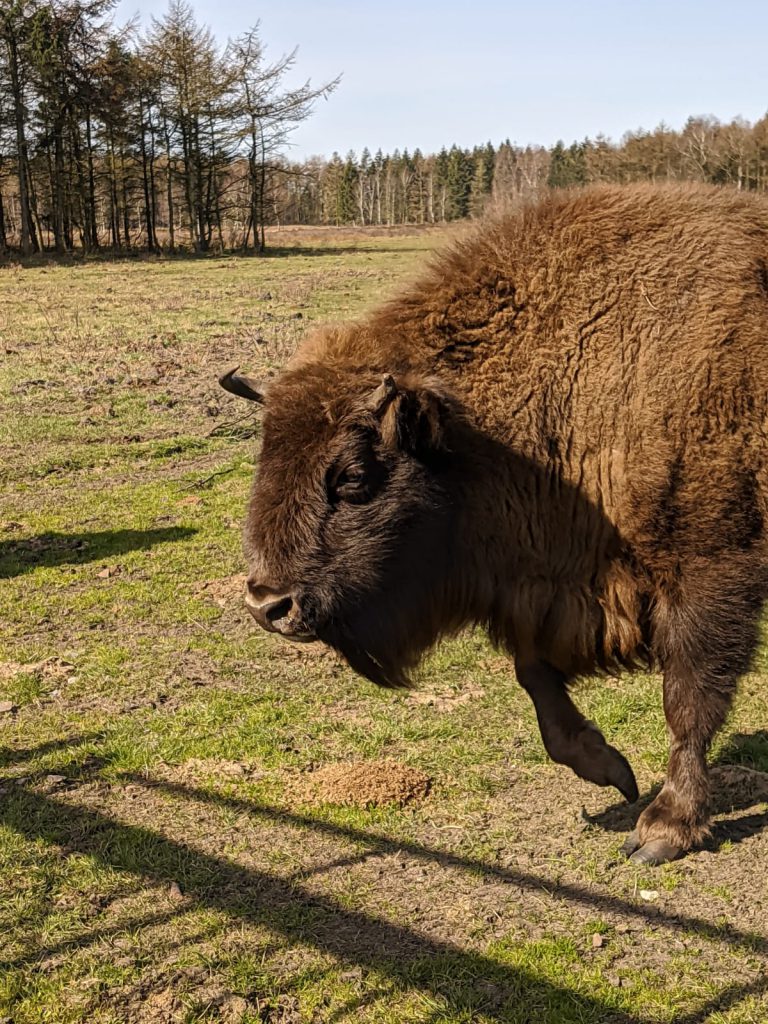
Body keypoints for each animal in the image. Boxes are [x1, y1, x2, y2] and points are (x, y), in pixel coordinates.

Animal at [221, 186, 768, 864]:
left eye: (351, 476)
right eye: (265, 455)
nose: (268, 605)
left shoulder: (709, 574)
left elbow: (689, 701)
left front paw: (664, 829)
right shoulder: (537, 580)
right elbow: (534, 675)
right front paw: (608, 768)